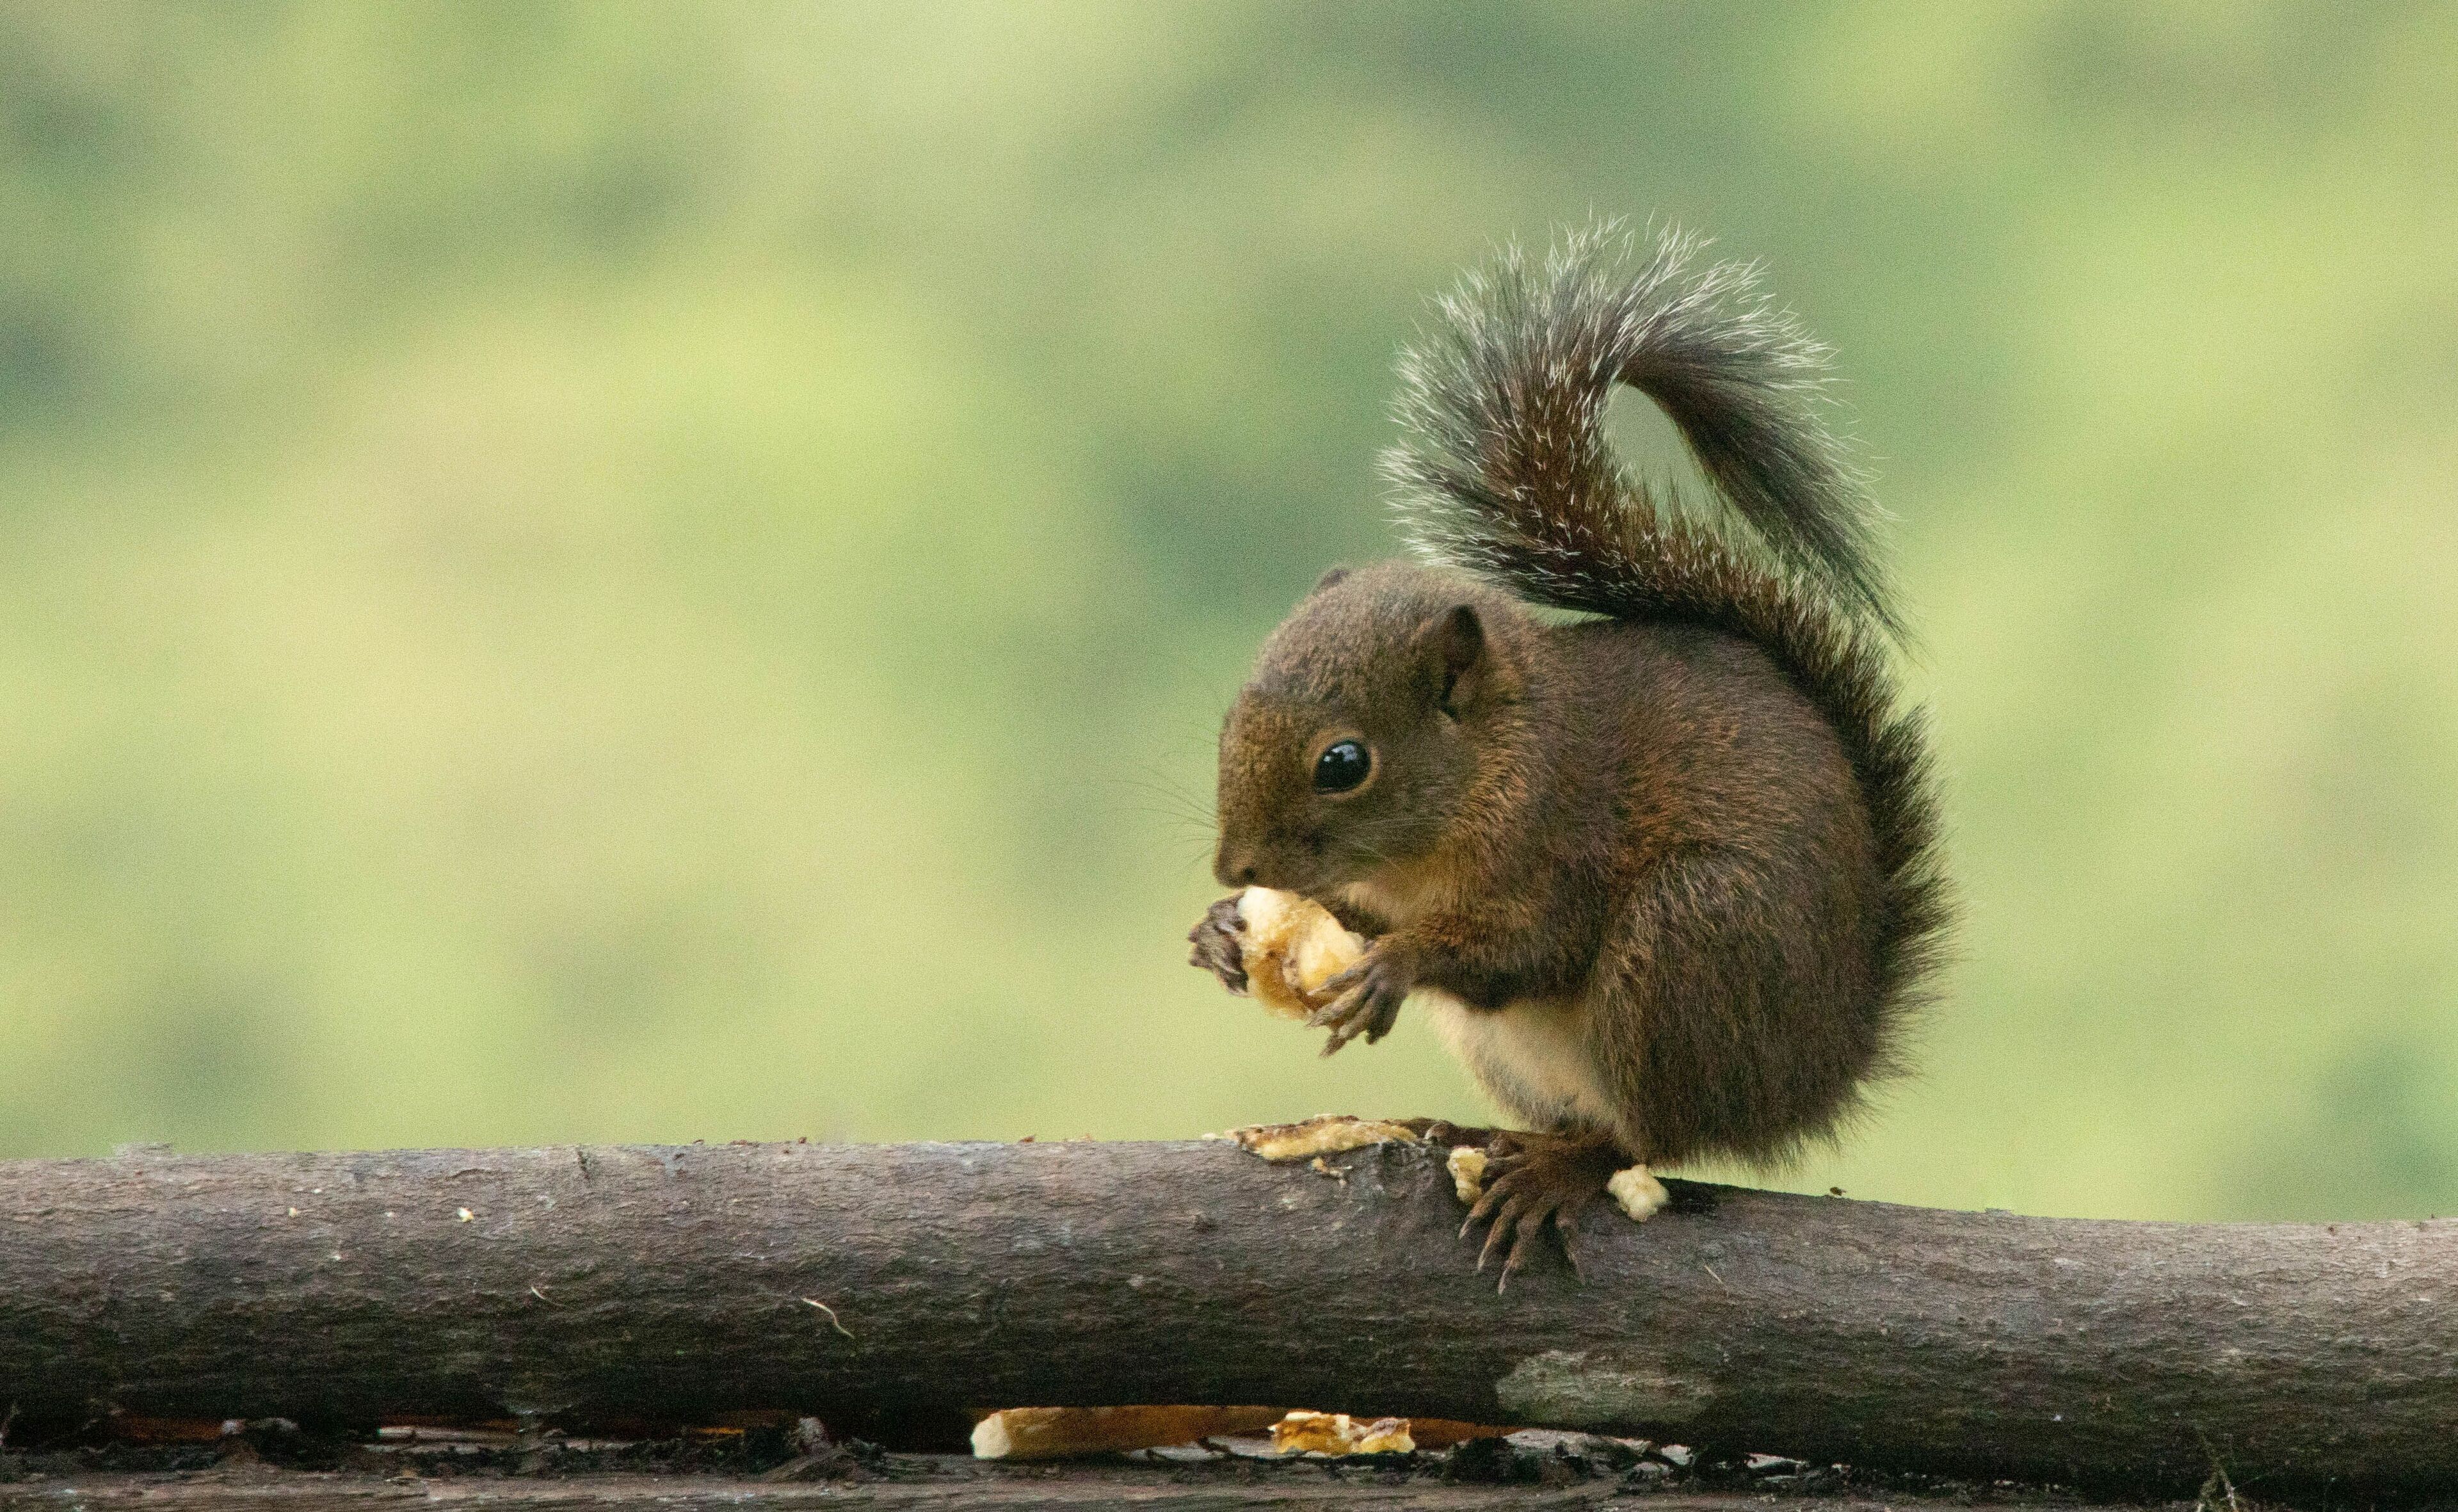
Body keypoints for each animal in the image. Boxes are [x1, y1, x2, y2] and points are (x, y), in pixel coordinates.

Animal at [1187, 223, 1950, 1284]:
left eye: (1344, 763)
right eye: (1231, 715)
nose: (1235, 866)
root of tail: (1823, 1066)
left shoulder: (1562, 838)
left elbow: (1527, 946)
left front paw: (1396, 963)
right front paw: (1223, 928)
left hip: (1689, 939)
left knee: (1649, 1132)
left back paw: (1563, 1167)